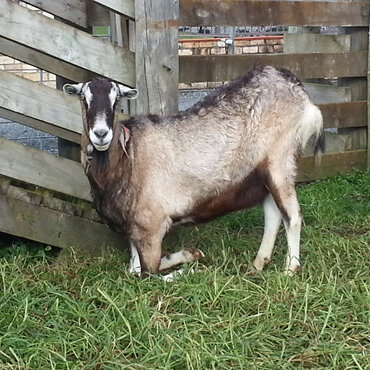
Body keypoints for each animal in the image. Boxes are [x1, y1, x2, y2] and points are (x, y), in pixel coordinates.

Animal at [63, 66, 324, 278]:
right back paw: (258, 264)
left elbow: (150, 273)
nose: (101, 133)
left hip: (281, 160)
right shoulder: (134, 227)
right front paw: (190, 256)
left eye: (116, 100)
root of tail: (301, 94)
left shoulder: (151, 226)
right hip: (262, 173)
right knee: (273, 214)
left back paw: (289, 270)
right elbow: (134, 270)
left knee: (292, 216)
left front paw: (189, 265)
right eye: (83, 98)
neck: (129, 157)